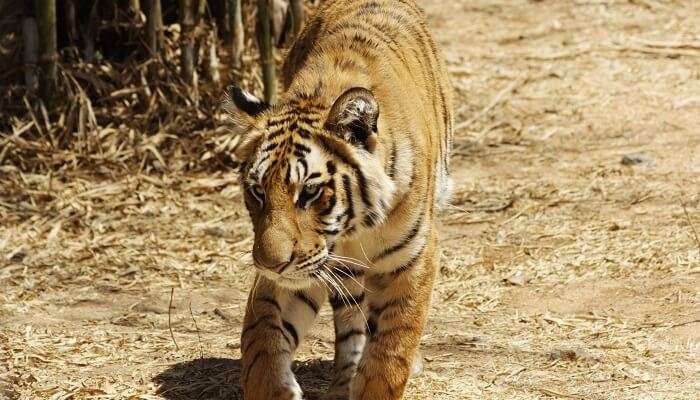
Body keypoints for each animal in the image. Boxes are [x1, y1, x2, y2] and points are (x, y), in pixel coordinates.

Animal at [226, 0, 454, 396]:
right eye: (258, 191)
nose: (269, 264)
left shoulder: (414, 259)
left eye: (309, 191)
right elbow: (261, 343)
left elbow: (390, 351)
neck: (352, 230)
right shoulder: (297, 271)